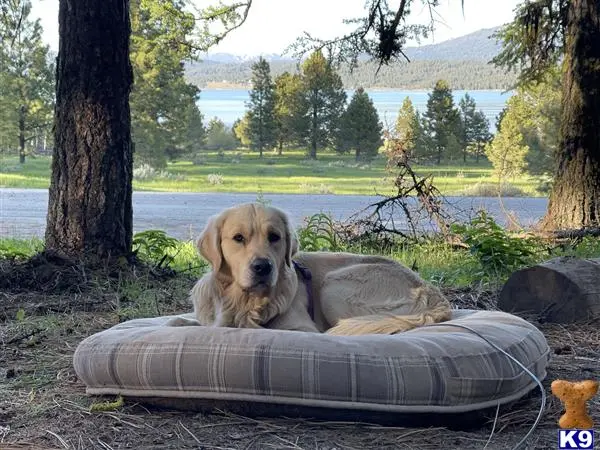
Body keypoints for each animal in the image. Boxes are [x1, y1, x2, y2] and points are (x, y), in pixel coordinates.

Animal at [173, 202, 450, 336]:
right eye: (238, 238)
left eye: (274, 237)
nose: (262, 267)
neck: (244, 302)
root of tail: (431, 290)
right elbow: (184, 322)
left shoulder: (303, 328)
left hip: (335, 285)